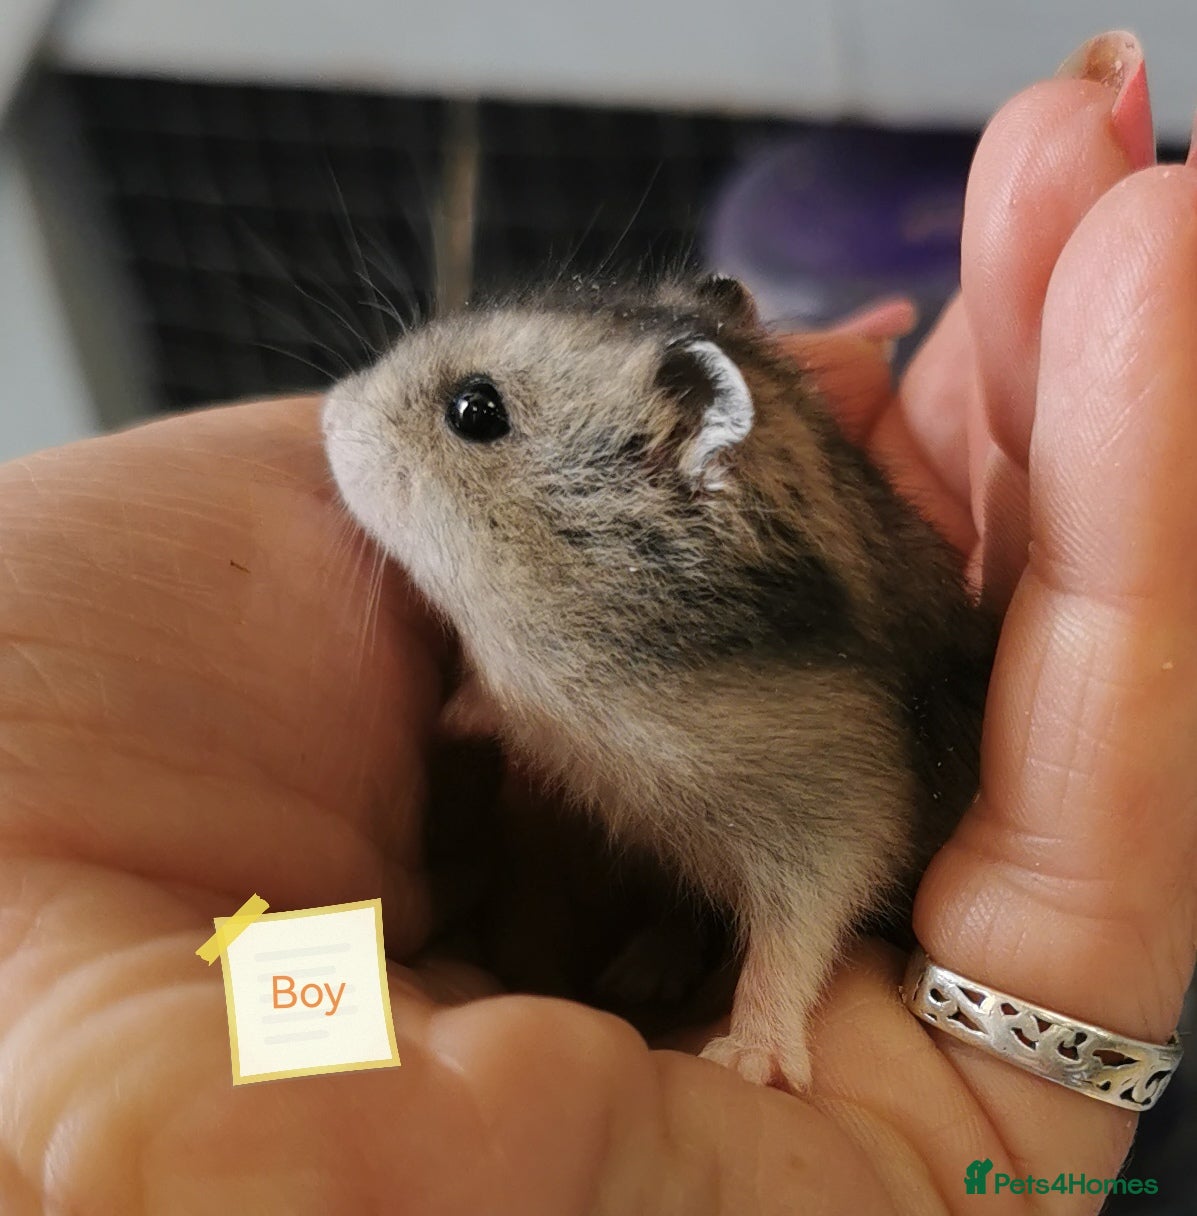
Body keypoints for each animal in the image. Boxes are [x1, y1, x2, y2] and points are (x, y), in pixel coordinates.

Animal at [323, 274, 995, 1090]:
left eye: (475, 411)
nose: (327, 409)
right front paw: (450, 713)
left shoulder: (844, 824)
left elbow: (791, 943)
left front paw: (750, 1064)